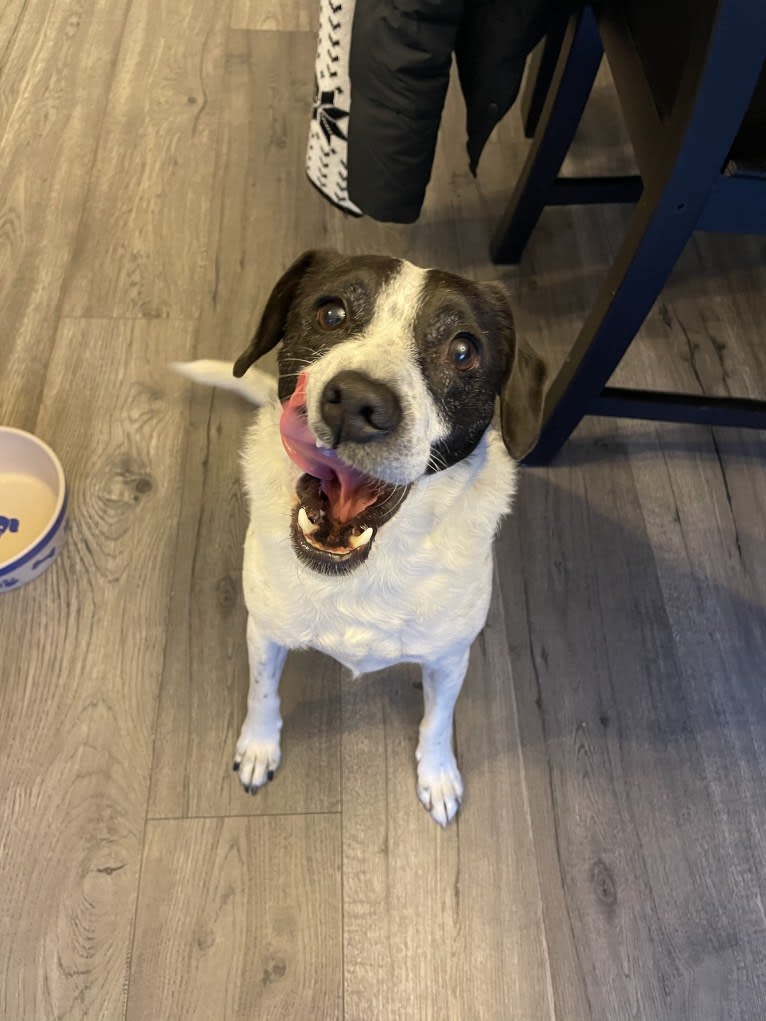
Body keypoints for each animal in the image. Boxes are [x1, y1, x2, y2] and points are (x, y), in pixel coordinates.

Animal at [175, 251, 547, 824]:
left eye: (463, 350)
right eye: (331, 313)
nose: (355, 403)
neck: (364, 573)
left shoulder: (448, 657)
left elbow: (437, 721)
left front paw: (438, 776)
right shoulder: (265, 630)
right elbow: (263, 693)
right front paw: (259, 746)